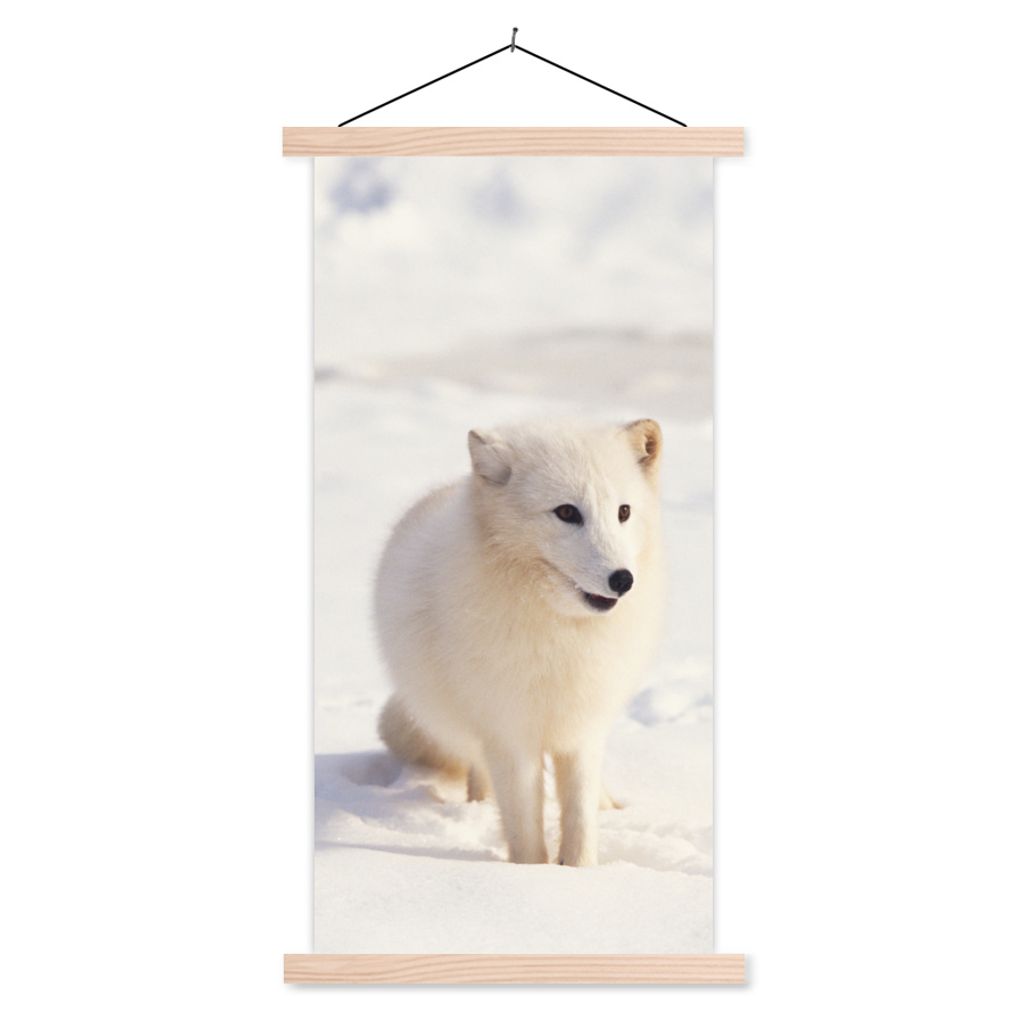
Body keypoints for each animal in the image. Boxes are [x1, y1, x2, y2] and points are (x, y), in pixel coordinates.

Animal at [374, 418, 666, 866]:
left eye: (624, 512)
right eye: (567, 512)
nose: (622, 579)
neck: (561, 636)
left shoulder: (581, 727)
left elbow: (580, 816)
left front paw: (581, 870)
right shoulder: (509, 733)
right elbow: (525, 826)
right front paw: (530, 874)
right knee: (479, 770)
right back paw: (479, 805)